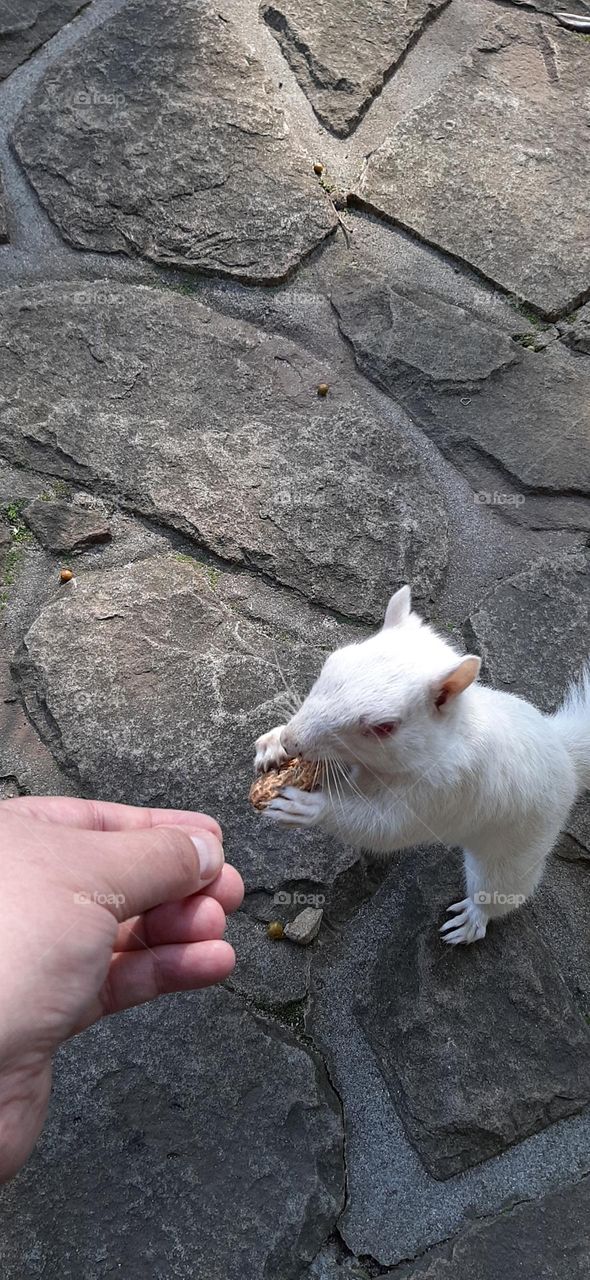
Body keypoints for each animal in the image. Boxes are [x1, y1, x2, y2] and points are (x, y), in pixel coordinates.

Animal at [254, 585, 590, 945]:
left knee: (501, 890)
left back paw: (473, 919)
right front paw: (272, 744)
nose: (292, 741)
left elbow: (382, 826)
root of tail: (562, 750)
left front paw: (308, 807)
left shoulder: (441, 794)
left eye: (384, 727)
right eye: (331, 662)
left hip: (520, 845)